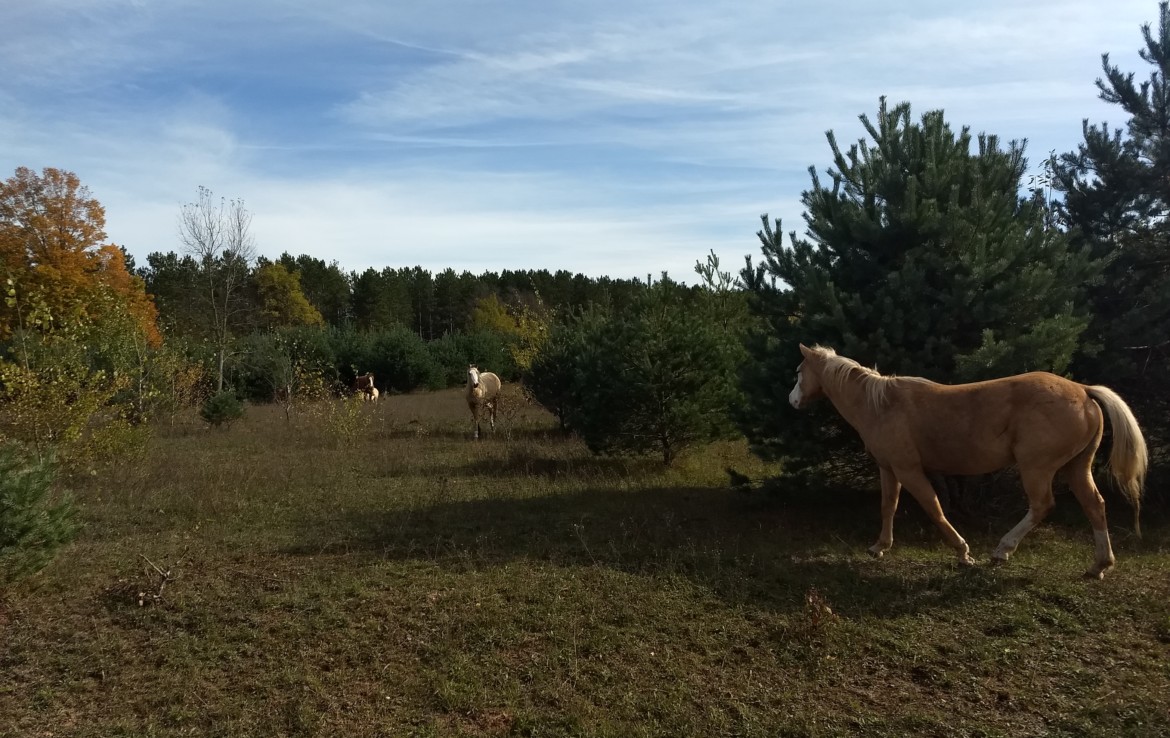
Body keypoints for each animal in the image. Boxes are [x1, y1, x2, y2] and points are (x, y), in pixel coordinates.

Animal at [788, 344, 1148, 579]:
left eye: (798, 372)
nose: (792, 400)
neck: (881, 405)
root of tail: (1083, 391)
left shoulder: (909, 469)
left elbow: (934, 507)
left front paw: (963, 553)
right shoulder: (889, 469)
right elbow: (888, 506)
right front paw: (879, 547)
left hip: (1037, 468)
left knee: (1042, 505)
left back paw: (1002, 550)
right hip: (1076, 467)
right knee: (1095, 505)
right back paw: (1099, 566)